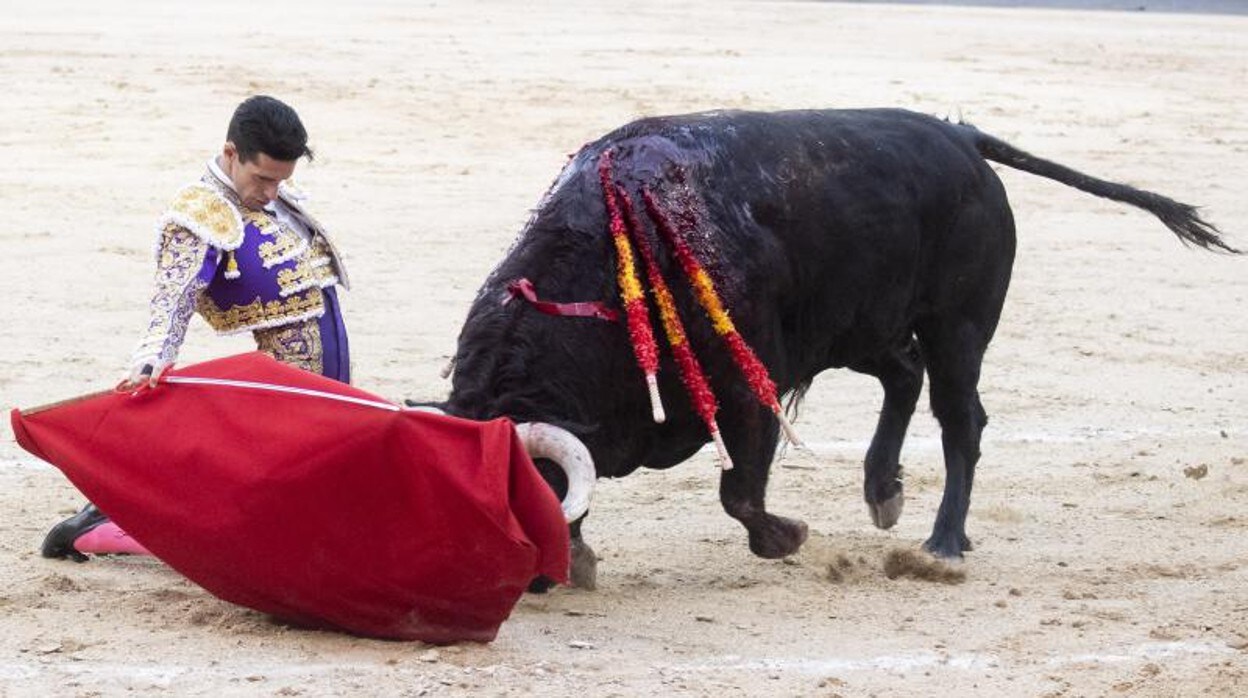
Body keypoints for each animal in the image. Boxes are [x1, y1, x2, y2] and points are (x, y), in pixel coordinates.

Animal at [441, 109, 1238, 586]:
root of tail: (960, 138)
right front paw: (580, 557)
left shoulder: (748, 388)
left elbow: (740, 493)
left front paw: (788, 535)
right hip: (860, 326)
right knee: (903, 376)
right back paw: (883, 490)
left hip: (957, 325)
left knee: (961, 418)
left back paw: (943, 541)